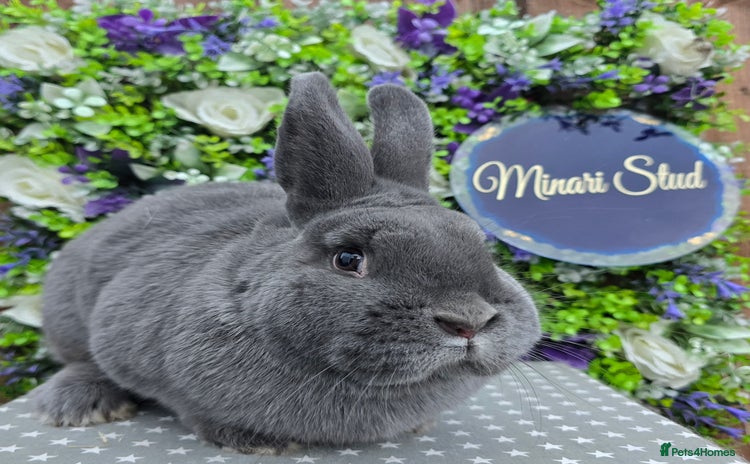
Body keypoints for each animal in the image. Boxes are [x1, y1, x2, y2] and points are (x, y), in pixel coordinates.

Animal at [33, 72, 541, 453]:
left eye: (483, 248)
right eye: (348, 258)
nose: (469, 321)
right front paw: (261, 444)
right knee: (81, 360)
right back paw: (80, 407)